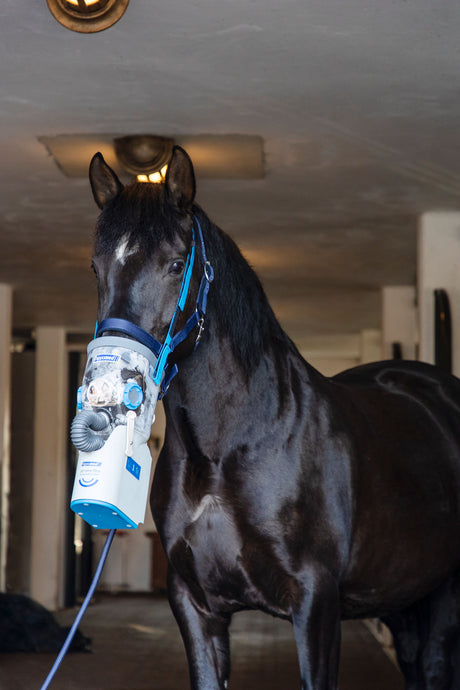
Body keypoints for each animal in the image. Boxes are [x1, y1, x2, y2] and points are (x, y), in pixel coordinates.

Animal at [88, 145, 460, 690]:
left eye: (176, 264)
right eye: (96, 268)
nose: (110, 383)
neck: (225, 452)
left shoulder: (316, 605)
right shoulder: (196, 606)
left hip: (446, 593)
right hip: (403, 597)